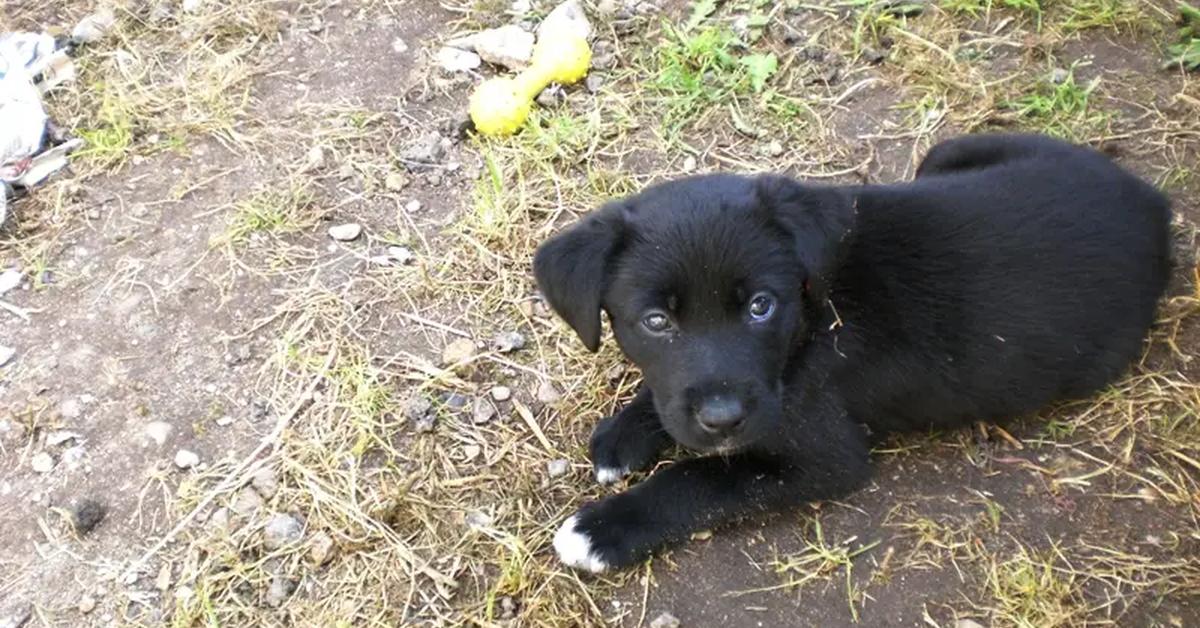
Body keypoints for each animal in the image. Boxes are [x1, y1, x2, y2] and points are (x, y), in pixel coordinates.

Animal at [535, 133, 1171, 573]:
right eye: (657, 321)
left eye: (761, 306)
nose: (723, 419)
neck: (811, 323)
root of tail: (1154, 205)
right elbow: (665, 397)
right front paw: (626, 432)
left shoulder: (826, 457)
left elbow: (701, 480)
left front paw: (603, 530)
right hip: (951, 149)